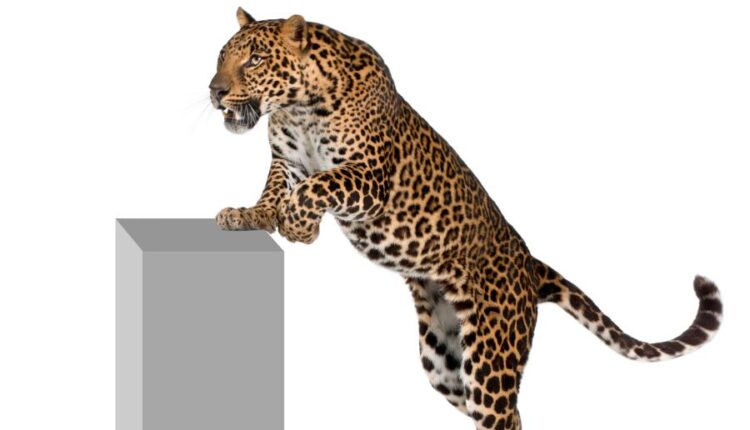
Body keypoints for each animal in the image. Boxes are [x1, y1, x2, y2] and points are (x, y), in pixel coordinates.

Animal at [210, 9, 723, 429]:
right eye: (221, 57)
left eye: (254, 60)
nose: (215, 91)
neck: (299, 108)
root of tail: (529, 263)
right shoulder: (287, 160)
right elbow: (276, 188)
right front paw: (250, 215)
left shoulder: (369, 178)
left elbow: (318, 187)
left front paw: (300, 227)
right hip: (445, 359)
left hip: (492, 355)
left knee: (505, 415)